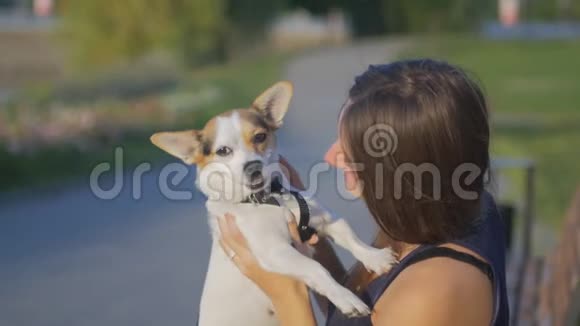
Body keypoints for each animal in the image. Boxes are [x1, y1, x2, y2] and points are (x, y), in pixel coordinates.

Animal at [150, 80, 396, 324]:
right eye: (223, 151)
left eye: (259, 137)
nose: (253, 167)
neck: (269, 198)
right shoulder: (275, 250)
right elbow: (316, 268)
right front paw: (346, 298)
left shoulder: (326, 220)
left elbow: (352, 239)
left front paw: (376, 257)